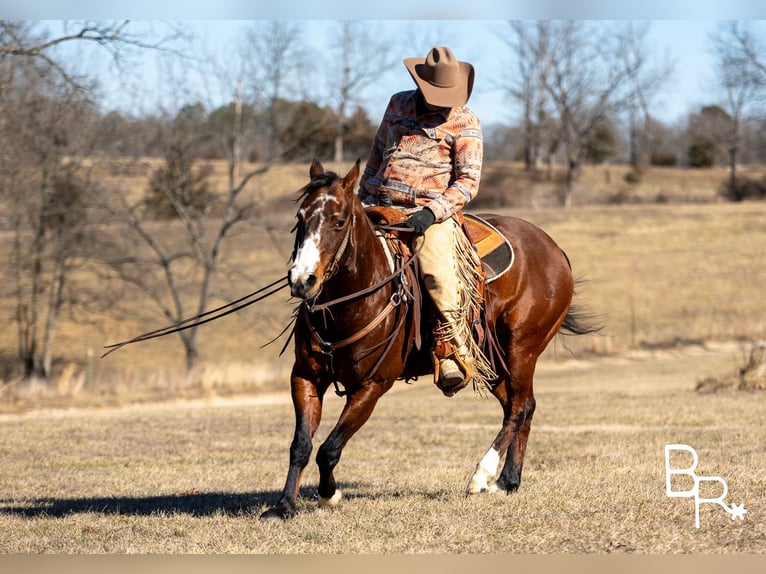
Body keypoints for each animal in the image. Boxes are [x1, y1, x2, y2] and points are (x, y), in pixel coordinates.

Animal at [262, 159, 600, 520]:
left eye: (339, 221)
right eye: (300, 218)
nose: (302, 280)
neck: (351, 302)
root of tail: (556, 251)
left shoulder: (372, 386)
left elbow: (329, 448)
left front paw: (329, 494)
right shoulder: (305, 376)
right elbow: (301, 445)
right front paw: (283, 506)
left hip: (521, 349)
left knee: (519, 408)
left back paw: (481, 476)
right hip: (493, 362)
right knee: (522, 405)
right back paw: (507, 480)